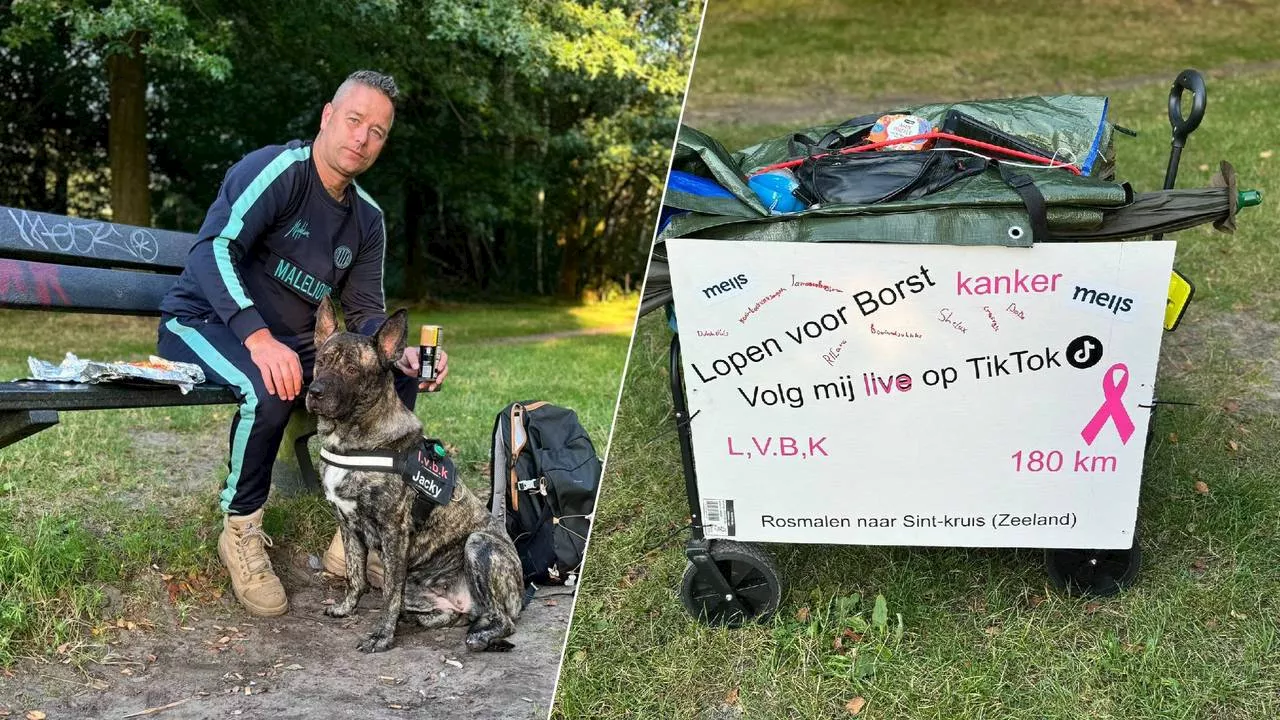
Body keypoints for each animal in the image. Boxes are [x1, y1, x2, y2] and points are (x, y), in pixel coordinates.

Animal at [307, 297, 522, 650]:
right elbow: (355, 576)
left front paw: (381, 635)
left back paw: (480, 635)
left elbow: (388, 597)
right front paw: (346, 608)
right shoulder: (348, 526)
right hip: (420, 587)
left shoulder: (394, 532)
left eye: (352, 370)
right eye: (321, 361)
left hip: (478, 545)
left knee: (503, 620)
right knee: (447, 613)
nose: (315, 391)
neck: (351, 439)